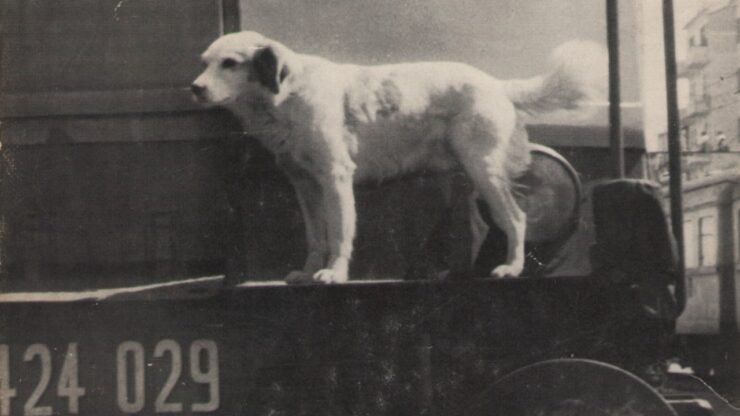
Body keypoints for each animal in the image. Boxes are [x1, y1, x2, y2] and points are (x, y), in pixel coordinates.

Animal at [191, 30, 600, 284]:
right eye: (205, 62)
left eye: (229, 63)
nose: (195, 88)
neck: (288, 93)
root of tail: (496, 84)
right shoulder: (305, 186)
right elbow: (316, 236)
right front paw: (307, 273)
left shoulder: (335, 177)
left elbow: (339, 233)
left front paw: (334, 274)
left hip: (485, 170)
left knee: (515, 218)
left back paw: (511, 268)